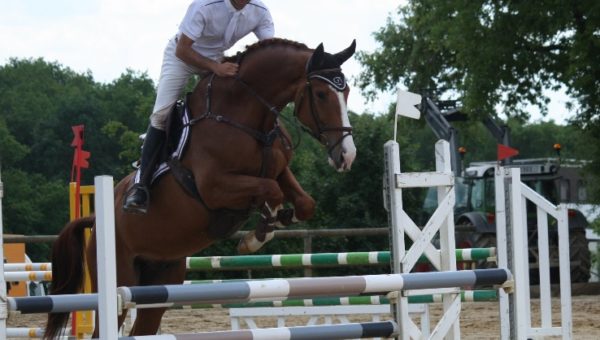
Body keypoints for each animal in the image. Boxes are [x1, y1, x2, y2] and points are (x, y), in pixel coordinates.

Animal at [45, 38, 360, 338]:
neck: (245, 118)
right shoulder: (215, 187)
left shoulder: (280, 169)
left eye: (346, 92)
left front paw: (279, 219)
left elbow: (304, 202)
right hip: (122, 277)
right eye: (321, 94)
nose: (347, 155)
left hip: (162, 276)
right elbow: (271, 191)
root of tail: (95, 221)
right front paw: (256, 236)